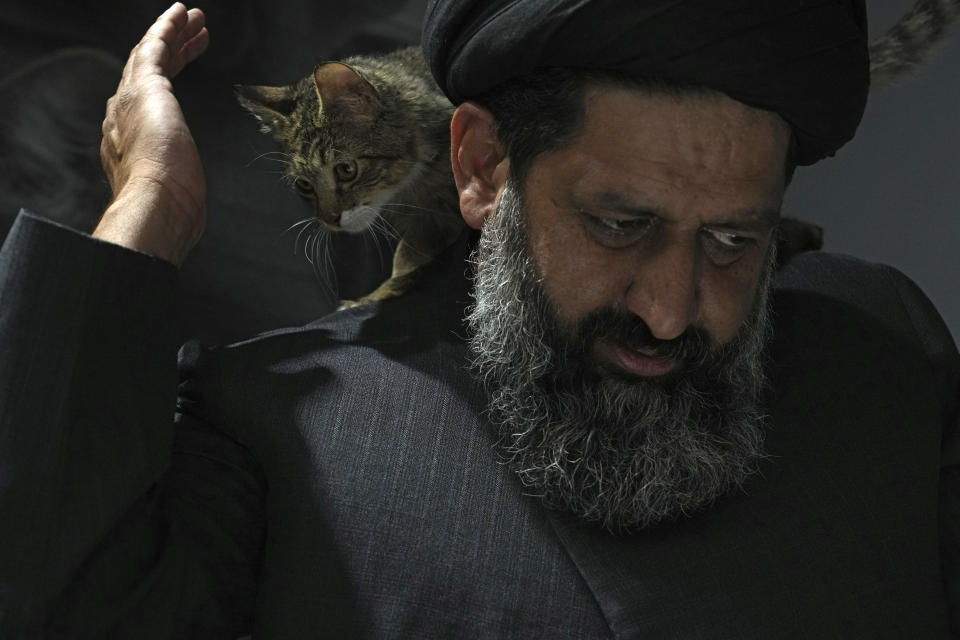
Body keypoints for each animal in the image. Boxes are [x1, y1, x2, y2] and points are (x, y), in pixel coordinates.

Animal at [236, 0, 956, 306]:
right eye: (304, 187)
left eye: (347, 170)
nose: (330, 221)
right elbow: (412, 253)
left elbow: (416, 258)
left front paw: (377, 293)